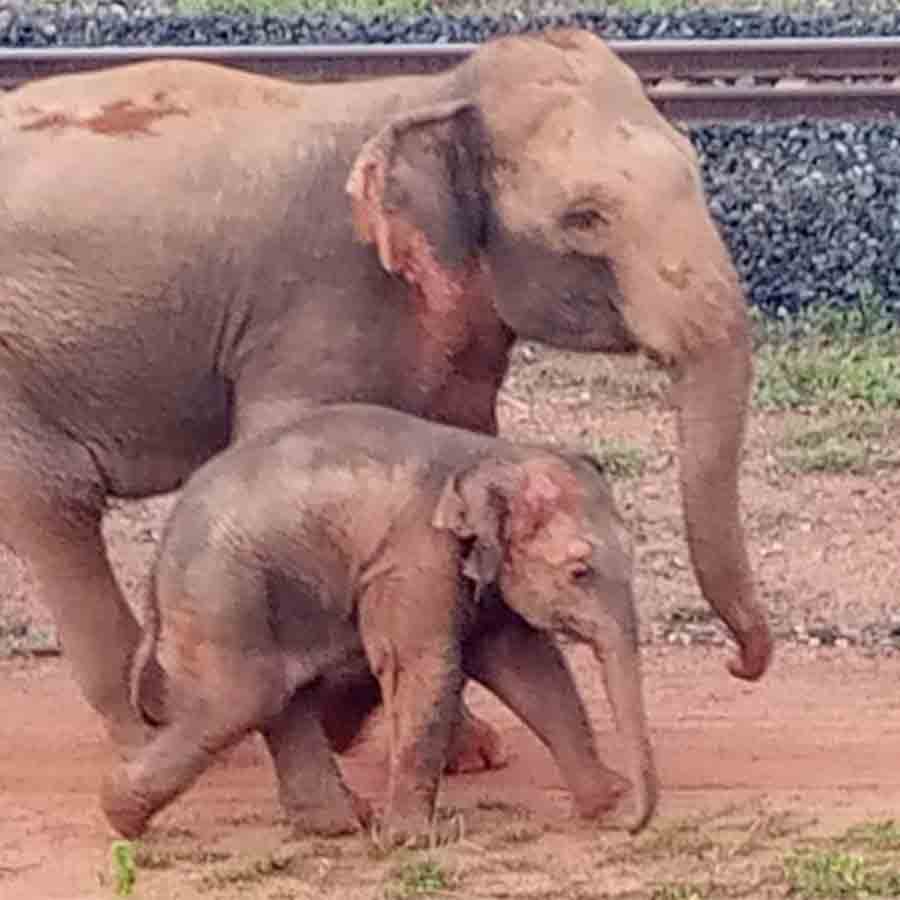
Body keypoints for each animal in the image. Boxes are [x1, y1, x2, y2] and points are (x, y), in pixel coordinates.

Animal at [0, 27, 770, 774]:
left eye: (694, 170)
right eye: (584, 217)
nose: (738, 665)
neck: (431, 94)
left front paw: (468, 753)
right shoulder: (317, 306)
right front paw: (343, 716)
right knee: (54, 506)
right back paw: (158, 737)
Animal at [100, 403, 657, 844]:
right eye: (580, 572)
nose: (630, 822)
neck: (490, 456)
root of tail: (157, 561)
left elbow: (530, 667)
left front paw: (605, 800)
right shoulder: (415, 561)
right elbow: (426, 667)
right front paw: (413, 840)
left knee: (277, 696)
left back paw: (342, 824)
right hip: (224, 592)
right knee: (240, 700)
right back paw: (120, 815)